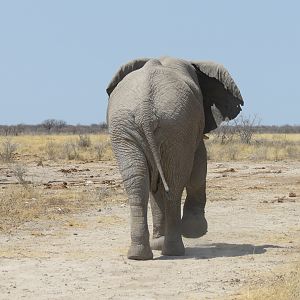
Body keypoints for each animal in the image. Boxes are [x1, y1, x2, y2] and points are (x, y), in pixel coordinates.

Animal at [106, 56, 243, 260]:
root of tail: (145, 111)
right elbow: (199, 165)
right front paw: (195, 231)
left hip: (130, 128)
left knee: (140, 183)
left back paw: (140, 255)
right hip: (173, 126)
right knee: (174, 182)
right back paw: (173, 250)